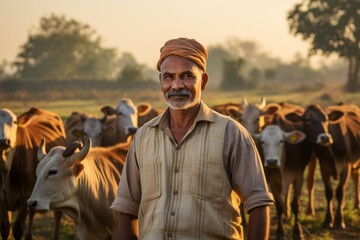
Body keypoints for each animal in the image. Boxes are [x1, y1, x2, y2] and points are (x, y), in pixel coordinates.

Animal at [0, 108, 66, 240]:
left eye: (14, 122)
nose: (4, 141)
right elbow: (5, 230)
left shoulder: (25, 194)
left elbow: (17, 229)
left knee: (57, 214)